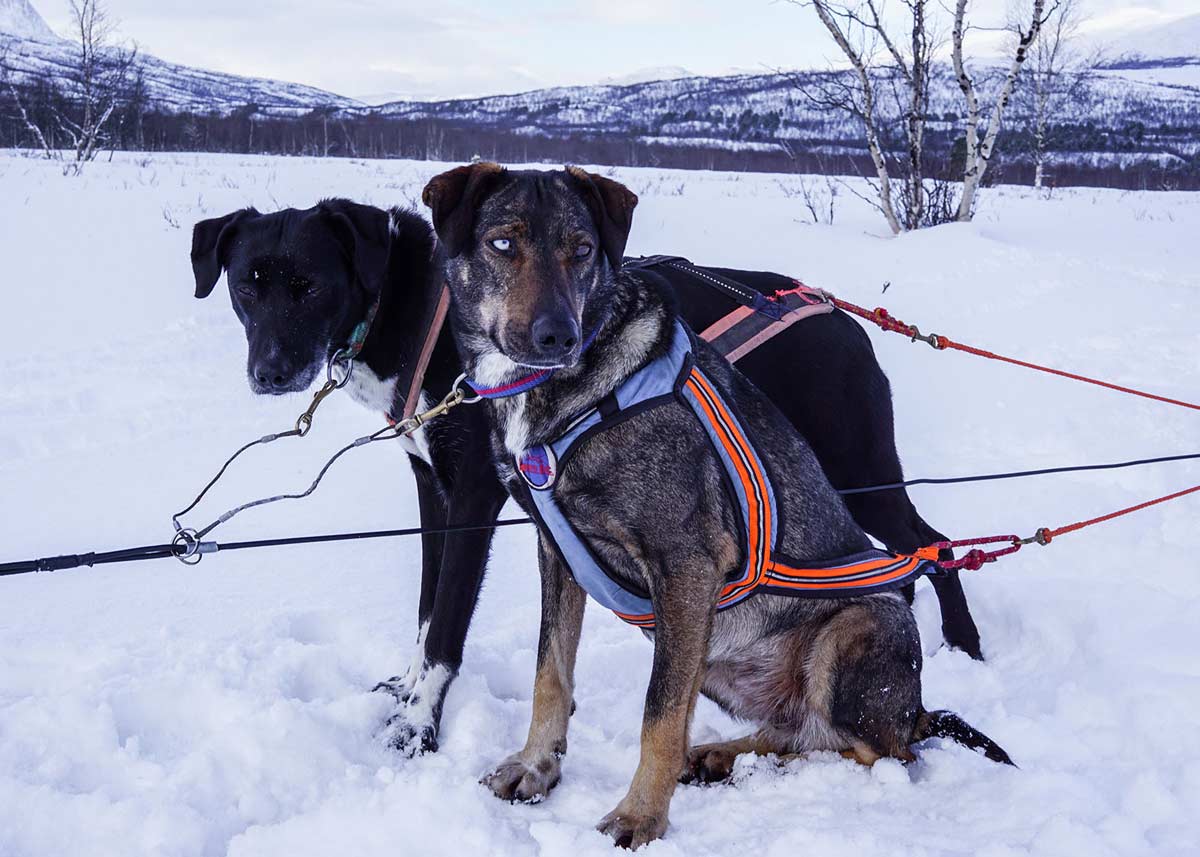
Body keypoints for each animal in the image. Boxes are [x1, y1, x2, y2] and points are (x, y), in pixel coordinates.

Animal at [194, 195, 984, 753]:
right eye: (246, 287)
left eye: (309, 285)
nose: (268, 373)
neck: (421, 312)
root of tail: (841, 317)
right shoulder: (431, 488)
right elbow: (423, 611)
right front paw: (405, 689)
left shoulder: (475, 496)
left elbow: (445, 624)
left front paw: (419, 727)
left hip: (856, 468)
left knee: (931, 540)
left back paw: (966, 645)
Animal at [422, 163, 1012, 844]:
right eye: (502, 244)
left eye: (583, 249)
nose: (556, 335)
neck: (575, 400)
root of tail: (916, 710)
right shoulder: (559, 553)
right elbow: (552, 675)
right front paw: (537, 766)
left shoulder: (685, 566)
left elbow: (658, 714)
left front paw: (640, 816)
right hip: (711, 653)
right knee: (798, 728)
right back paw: (720, 755)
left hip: (855, 627)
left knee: (869, 749)